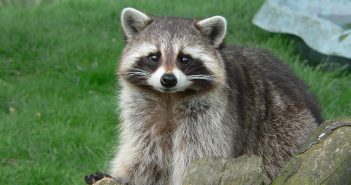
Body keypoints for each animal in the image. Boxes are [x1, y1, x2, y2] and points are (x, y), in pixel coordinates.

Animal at [108, 7, 324, 185]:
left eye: (184, 59)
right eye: (154, 57)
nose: (168, 79)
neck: (169, 97)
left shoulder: (211, 118)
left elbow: (198, 155)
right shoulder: (142, 114)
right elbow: (145, 155)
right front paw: (123, 176)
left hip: (285, 131)